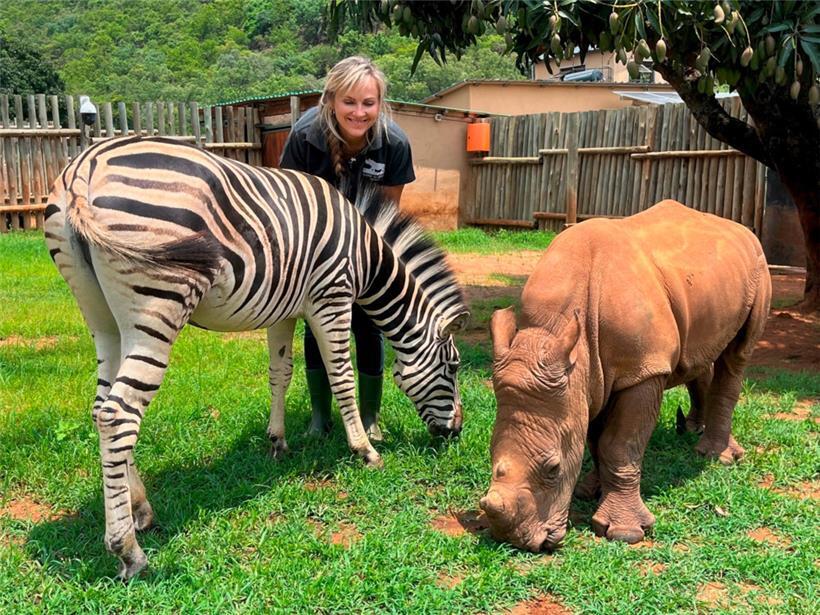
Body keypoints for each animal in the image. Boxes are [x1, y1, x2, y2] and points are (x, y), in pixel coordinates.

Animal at [44, 136, 469, 580]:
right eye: (454, 367)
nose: (457, 431)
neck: (366, 257)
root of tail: (84, 167)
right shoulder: (332, 299)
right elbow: (342, 377)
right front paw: (365, 450)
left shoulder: (284, 310)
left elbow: (280, 372)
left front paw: (277, 441)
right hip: (158, 304)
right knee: (118, 415)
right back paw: (128, 550)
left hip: (102, 316)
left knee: (100, 409)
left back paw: (140, 507)